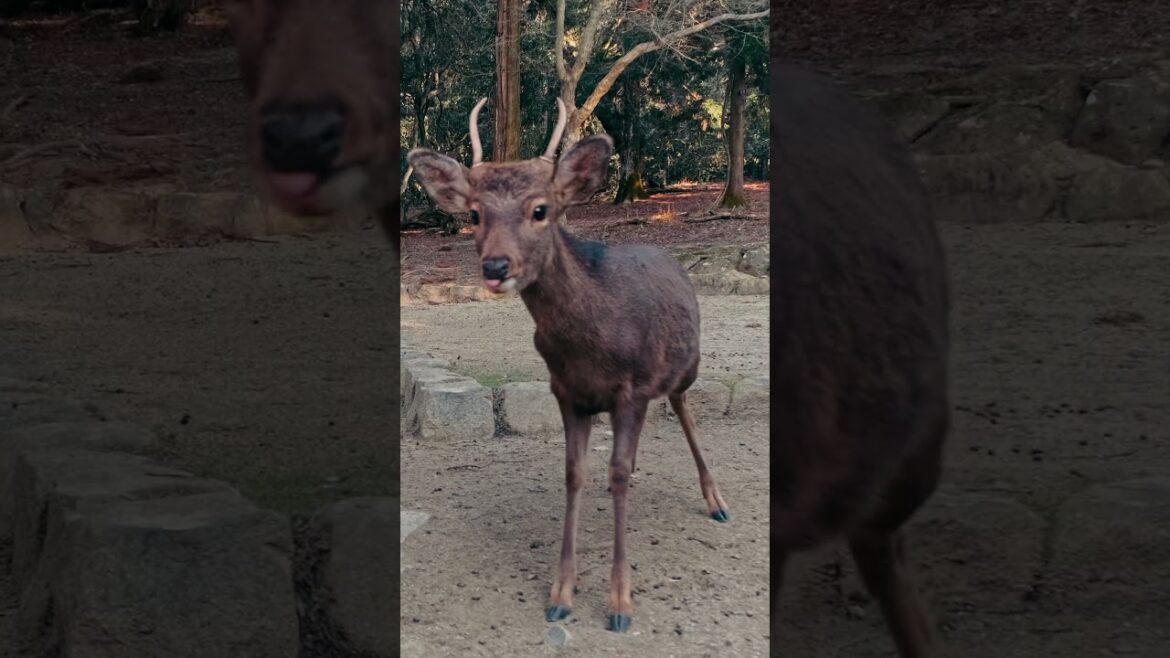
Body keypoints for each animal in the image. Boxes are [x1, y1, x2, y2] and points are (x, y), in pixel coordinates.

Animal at [407, 98, 731, 633]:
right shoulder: (566, 391)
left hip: (686, 366)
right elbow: (575, 474)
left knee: (684, 407)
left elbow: (616, 475)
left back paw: (717, 501)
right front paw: (561, 594)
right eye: (473, 213)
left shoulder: (632, 387)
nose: (496, 267)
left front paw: (620, 603)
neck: (590, 343)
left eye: (541, 209)